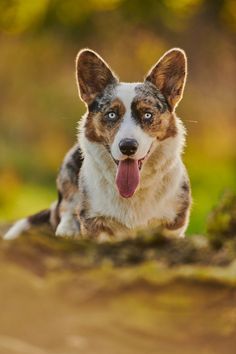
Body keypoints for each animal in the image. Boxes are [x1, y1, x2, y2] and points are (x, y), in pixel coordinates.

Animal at [3, 47, 192, 241]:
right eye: (111, 114)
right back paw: (67, 229)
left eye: (147, 114)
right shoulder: (93, 223)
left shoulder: (173, 224)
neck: (132, 193)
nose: (128, 147)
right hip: (69, 164)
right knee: (65, 206)